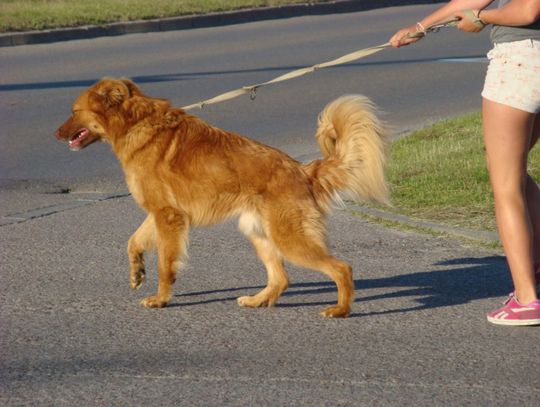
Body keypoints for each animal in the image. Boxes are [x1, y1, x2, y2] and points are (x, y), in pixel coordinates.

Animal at [54, 78, 388, 318]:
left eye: (73, 111)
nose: (55, 135)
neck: (137, 123)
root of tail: (303, 170)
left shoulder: (168, 217)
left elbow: (165, 265)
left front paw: (161, 299)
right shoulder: (161, 213)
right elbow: (133, 242)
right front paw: (137, 272)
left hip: (289, 239)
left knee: (341, 268)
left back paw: (341, 309)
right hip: (259, 233)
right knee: (280, 278)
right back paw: (257, 300)